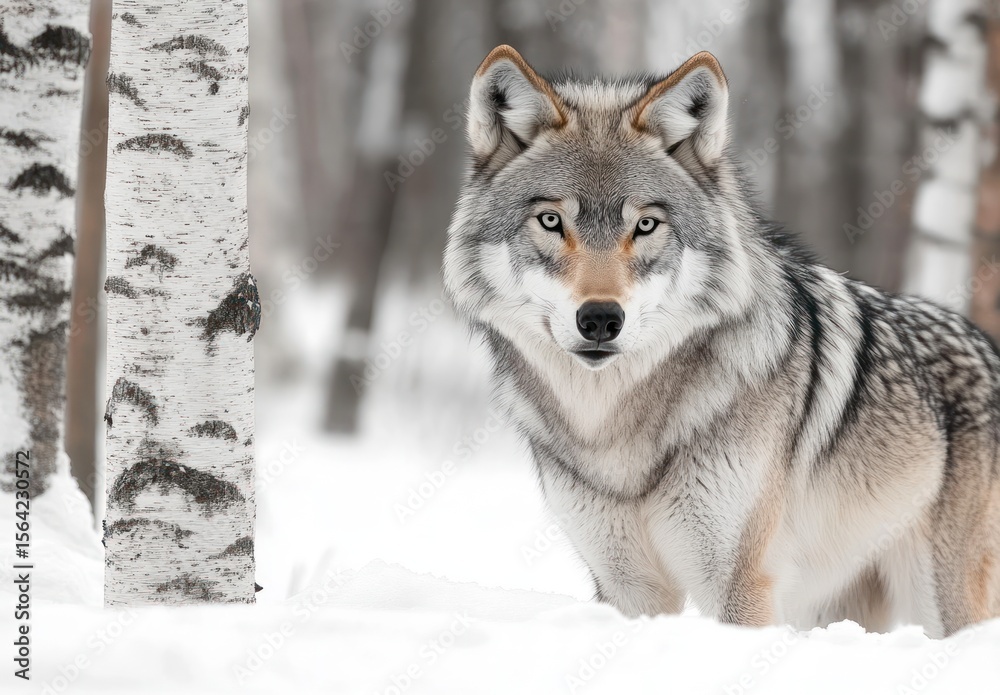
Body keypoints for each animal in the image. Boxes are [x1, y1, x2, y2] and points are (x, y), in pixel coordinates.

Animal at [443, 45, 1000, 638]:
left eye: (645, 225)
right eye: (551, 221)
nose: (599, 319)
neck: (613, 431)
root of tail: (986, 345)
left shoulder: (737, 582)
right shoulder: (627, 587)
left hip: (943, 603)